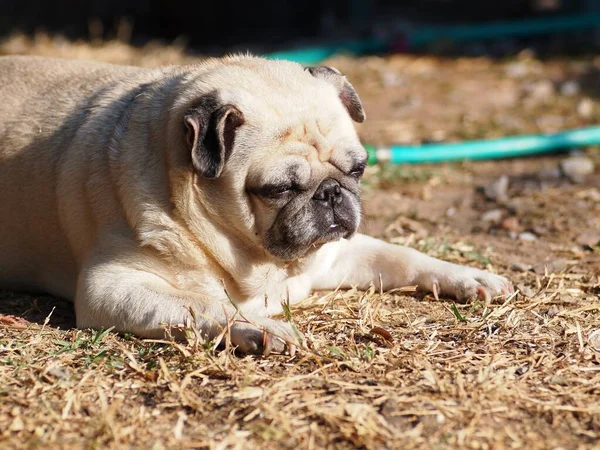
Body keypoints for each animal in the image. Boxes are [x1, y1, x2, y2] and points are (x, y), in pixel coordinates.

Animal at [0, 54, 512, 356]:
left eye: (357, 169)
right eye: (279, 189)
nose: (331, 193)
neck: (258, 261)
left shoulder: (338, 255)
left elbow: (405, 257)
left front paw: (470, 277)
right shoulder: (111, 287)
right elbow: (204, 304)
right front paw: (263, 328)